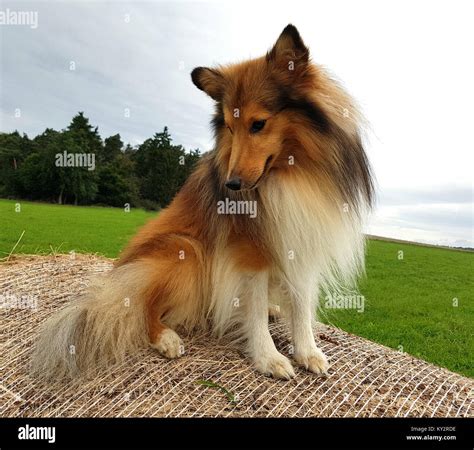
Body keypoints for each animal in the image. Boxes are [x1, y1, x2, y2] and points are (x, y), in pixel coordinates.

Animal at [32, 22, 374, 378]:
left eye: (258, 124)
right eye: (229, 126)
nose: (232, 185)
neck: (291, 171)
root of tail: (118, 275)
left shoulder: (302, 242)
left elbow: (301, 303)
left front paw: (308, 351)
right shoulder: (248, 251)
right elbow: (253, 309)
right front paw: (268, 357)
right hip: (186, 252)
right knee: (141, 307)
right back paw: (166, 339)